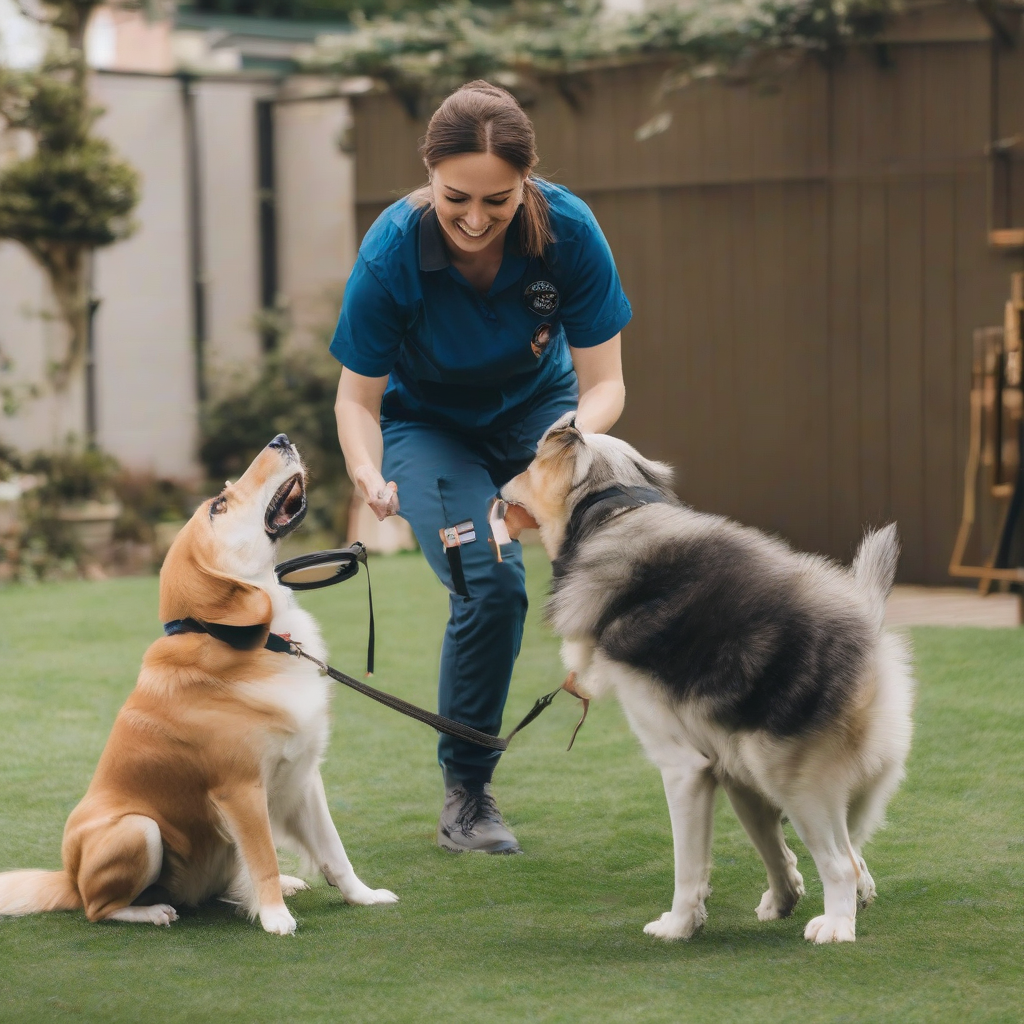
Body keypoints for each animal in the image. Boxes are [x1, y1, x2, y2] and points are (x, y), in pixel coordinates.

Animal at [0, 436, 395, 933]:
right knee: (97, 909)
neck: (253, 641)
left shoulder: (304, 776)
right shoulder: (240, 790)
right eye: (219, 505)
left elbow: (334, 851)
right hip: (139, 829)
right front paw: (275, 919)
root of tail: (68, 879)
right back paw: (152, 910)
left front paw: (363, 896)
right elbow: (264, 857)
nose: (281, 439)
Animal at [501, 413, 913, 942]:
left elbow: (689, 868)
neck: (613, 514)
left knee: (840, 863)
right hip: (751, 769)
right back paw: (811, 899)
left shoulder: (683, 768)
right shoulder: (717, 769)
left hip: (788, 776)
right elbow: (766, 857)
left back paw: (837, 926)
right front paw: (764, 902)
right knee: (842, 855)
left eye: (528, 462)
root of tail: (868, 628)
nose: (498, 484)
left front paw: (680, 925)